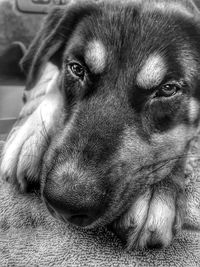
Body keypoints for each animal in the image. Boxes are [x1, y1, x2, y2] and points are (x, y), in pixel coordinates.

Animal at [0, 0, 200, 251]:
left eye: (167, 89)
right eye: (77, 68)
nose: (65, 205)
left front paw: (158, 189)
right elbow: (54, 79)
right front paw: (33, 132)